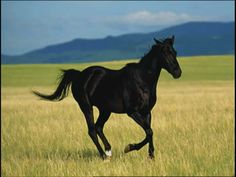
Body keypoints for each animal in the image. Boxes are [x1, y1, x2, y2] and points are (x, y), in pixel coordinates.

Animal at [33, 35, 182, 159]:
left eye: (174, 52)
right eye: (165, 53)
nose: (177, 72)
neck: (142, 80)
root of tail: (80, 74)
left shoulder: (147, 112)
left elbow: (149, 132)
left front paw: (150, 155)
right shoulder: (132, 112)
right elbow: (149, 131)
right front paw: (129, 148)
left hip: (105, 110)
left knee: (98, 127)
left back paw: (108, 150)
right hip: (86, 106)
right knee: (92, 130)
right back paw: (104, 156)